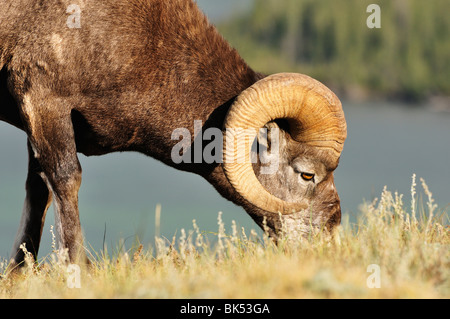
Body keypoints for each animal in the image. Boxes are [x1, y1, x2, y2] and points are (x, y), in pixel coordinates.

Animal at [0, 0, 348, 268]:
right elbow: (65, 181)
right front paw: (78, 272)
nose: (330, 235)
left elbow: (39, 193)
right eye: (307, 174)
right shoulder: (45, 102)